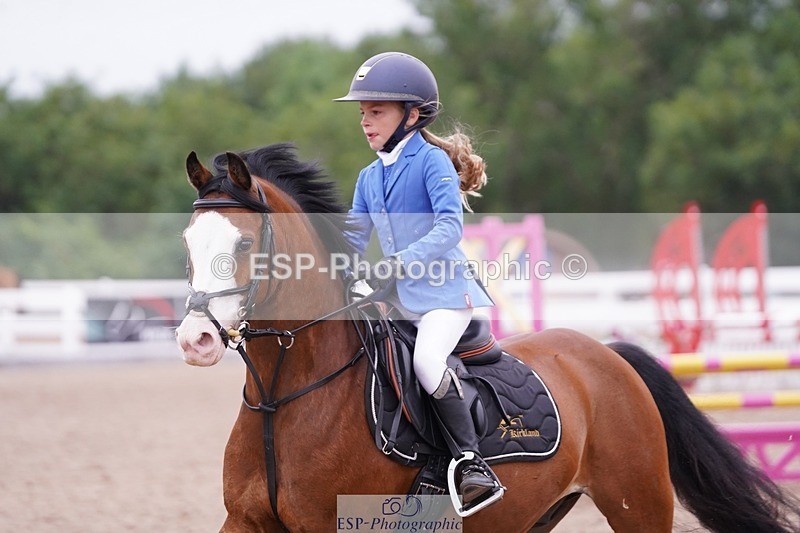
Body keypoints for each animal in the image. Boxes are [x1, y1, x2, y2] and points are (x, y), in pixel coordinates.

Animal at [175, 144, 800, 532]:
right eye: (188, 242)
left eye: (243, 244)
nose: (195, 340)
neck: (286, 395)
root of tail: (606, 355)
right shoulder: (244, 521)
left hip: (639, 504)